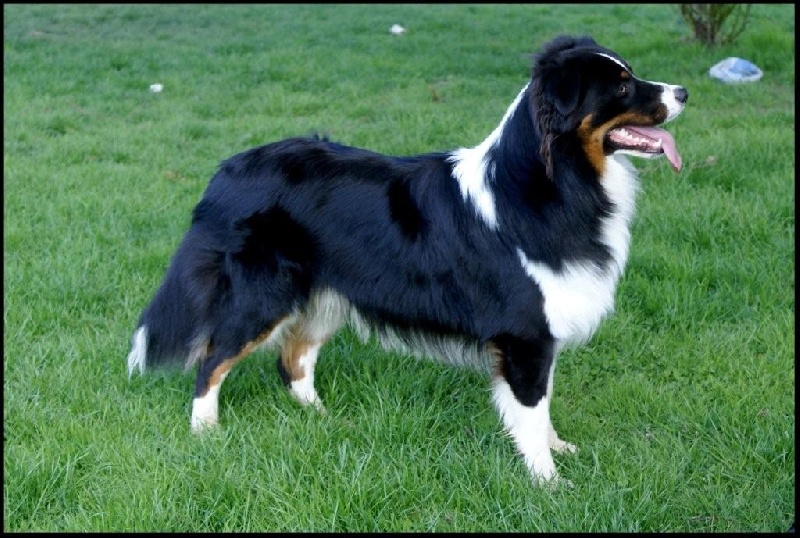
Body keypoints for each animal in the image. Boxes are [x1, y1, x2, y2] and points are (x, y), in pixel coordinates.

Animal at [127, 35, 687, 484]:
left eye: (630, 74)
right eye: (620, 87)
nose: (683, 92)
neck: (555, 182)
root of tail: (226, 170)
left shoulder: (539, 335)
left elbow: (542, 405)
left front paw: (558, 451)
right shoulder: (525, 333)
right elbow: (531, 408)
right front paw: (548, 483)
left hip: (328, 294)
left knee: (293, 360)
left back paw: (324, 420)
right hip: (262, 294)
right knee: (212, 359)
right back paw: (206, 433)